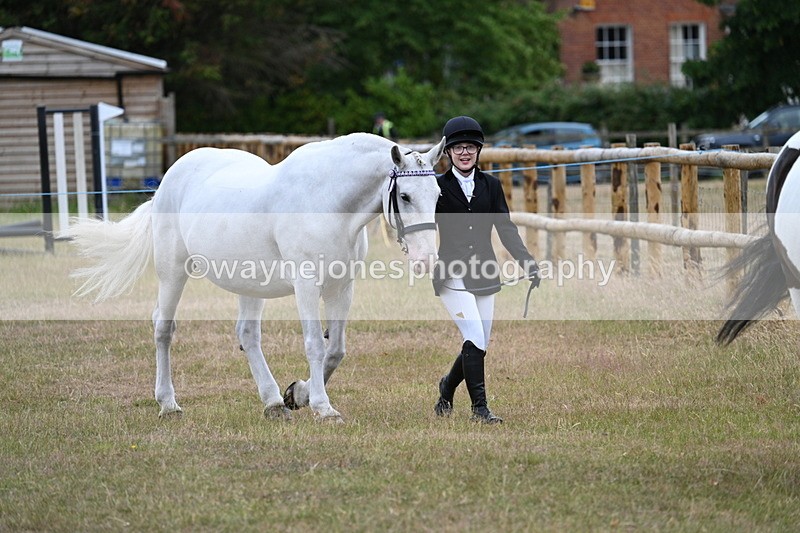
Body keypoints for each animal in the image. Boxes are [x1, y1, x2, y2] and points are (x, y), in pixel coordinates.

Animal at [68, 133, 445, 421]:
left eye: (438, 195)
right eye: (405, 196)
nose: (427, 259)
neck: (328, 200)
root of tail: (169, 179)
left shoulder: (342, 286)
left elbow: (336, 349)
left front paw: (299, 394)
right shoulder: (306, 285)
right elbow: (315, 345)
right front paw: (323, 408)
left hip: (249, 282)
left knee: (248, 335)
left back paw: (274, 402)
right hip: (172, 269)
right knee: (163, 328)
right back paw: (168, 404)